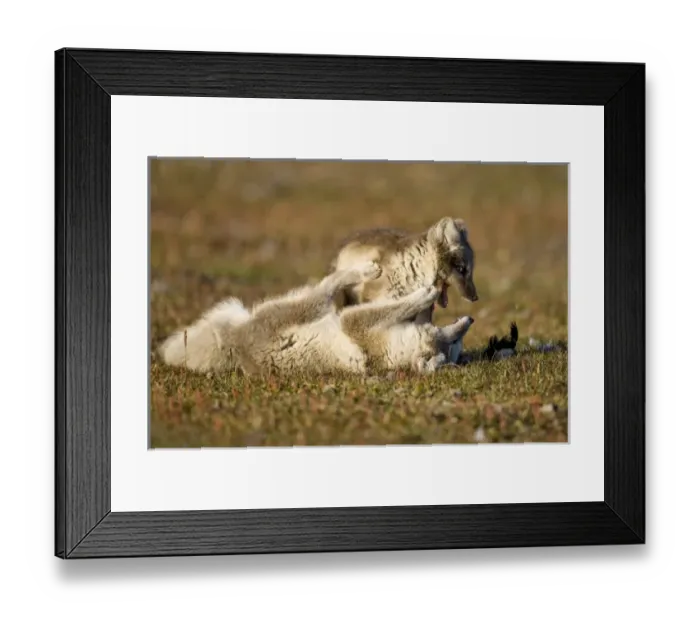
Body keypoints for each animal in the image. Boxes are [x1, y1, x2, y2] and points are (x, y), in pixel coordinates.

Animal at [157, 262, 475, 377]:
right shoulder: (357, 320)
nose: (470, 319)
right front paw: (428, 295)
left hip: (310, 305)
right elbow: (405, 307)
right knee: (330, 281)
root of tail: (234, 346)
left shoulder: (352, 322)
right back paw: (366, 270)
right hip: (315, 306)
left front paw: (425, 295)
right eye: (456, 342)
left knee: (327, 284)